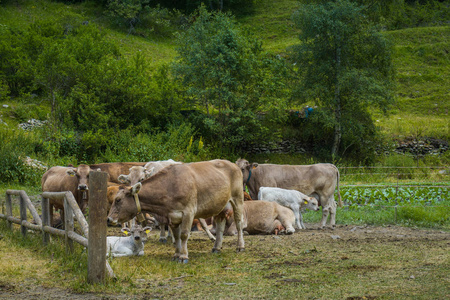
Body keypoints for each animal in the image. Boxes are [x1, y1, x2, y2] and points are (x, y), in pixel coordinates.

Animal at [107, 159, 244, 262]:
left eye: (118, 200)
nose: (109, 219)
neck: (170, 186)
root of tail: (232, 164)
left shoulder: (188, 212)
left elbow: (184, 234)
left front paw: (183, 256)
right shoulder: (172, 216)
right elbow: (177, 236)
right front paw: (176, 254)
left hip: (238, 199)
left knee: (239, 224)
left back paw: (240, 246)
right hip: (221, 206)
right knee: (220, 226)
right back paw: (216, 247)